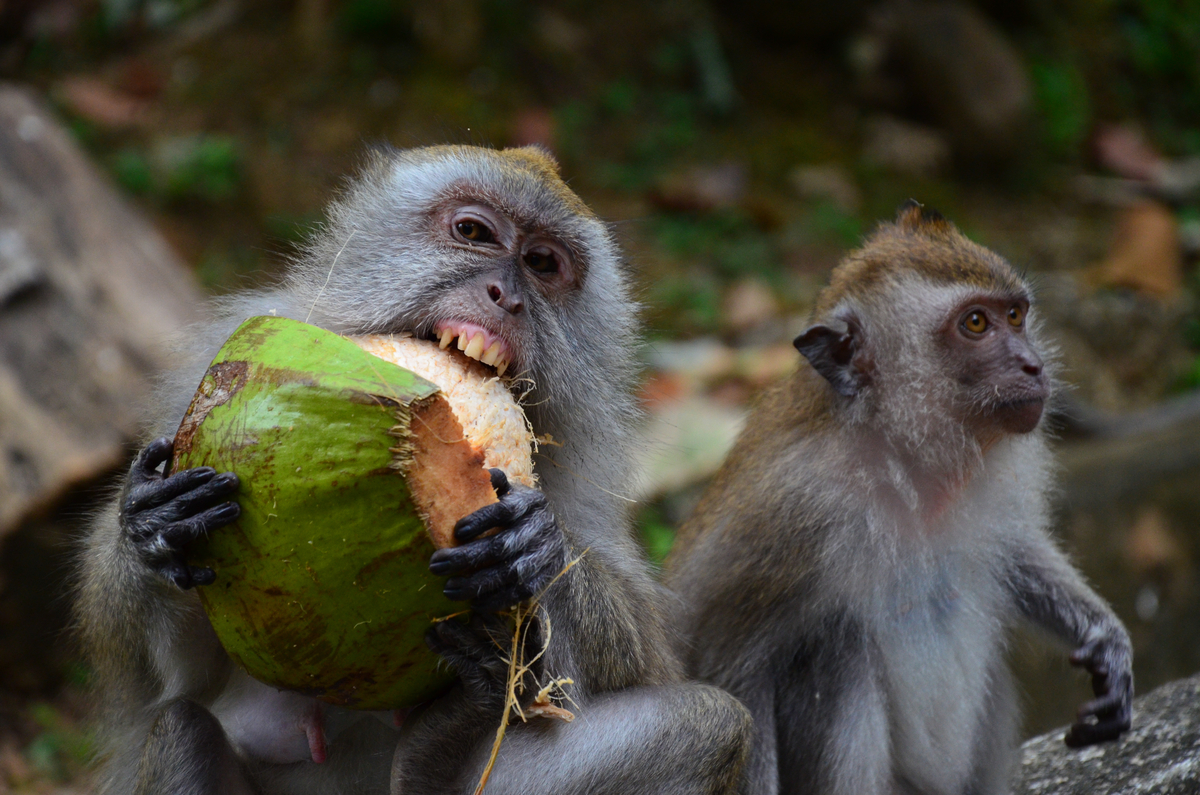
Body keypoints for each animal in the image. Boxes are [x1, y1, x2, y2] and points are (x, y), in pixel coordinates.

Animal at [667, 204, 1132, 795]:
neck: (901, 459)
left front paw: (1106, 640)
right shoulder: (787, 515)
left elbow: (1017, 552)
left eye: (1015, 314)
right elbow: (730, 672)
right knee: (837, 652)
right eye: (974, 324)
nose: (1034, 365)